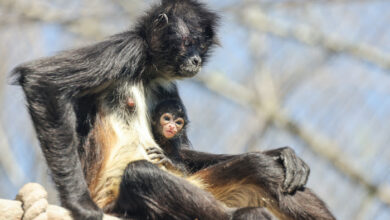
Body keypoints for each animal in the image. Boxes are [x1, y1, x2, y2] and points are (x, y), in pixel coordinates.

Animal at [12, 0, 322, 220]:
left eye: (202, 46)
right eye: (188, 43)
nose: (196, 60)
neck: (148, 69)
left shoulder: (166, 86)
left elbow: (179, 150)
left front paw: (280, 153)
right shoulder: (128, 48)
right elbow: (42, 81)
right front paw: (79, 205)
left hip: (199, 185)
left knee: (260, 167)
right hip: (120, 203)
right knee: (141, 173)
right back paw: (244, 215)